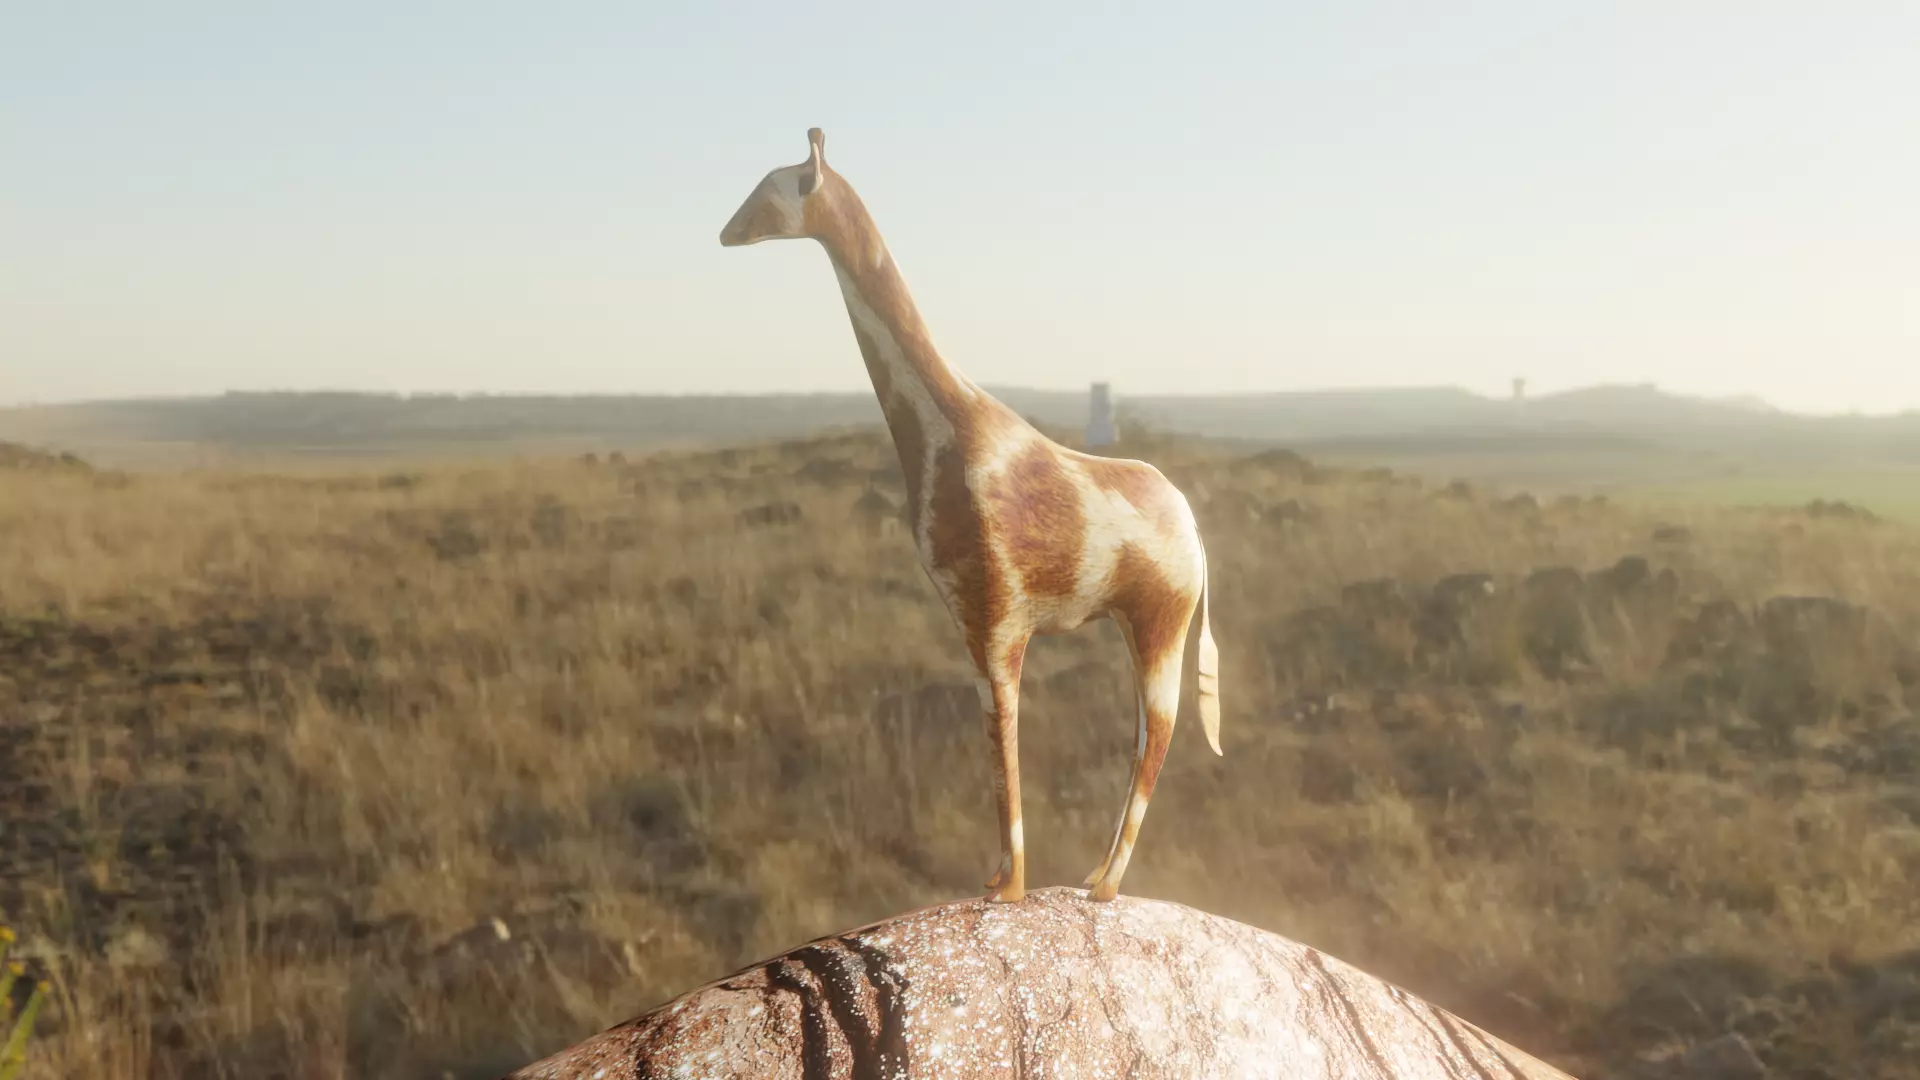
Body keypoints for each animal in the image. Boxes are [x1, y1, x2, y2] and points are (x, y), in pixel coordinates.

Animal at [719, 128, 1222, 903]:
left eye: (771, 191)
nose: (725, 233)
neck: (949, 429)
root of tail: (1193, 526)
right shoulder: (969, 621)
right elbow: (995, 746)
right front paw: (997, 880)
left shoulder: (998, 617)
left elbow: (1006, 744)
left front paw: (1011, 891)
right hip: (1138, 622)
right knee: (1147, 738)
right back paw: (1094, 876)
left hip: (1161, 619)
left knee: (1156, 742)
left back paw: (1106, 887)